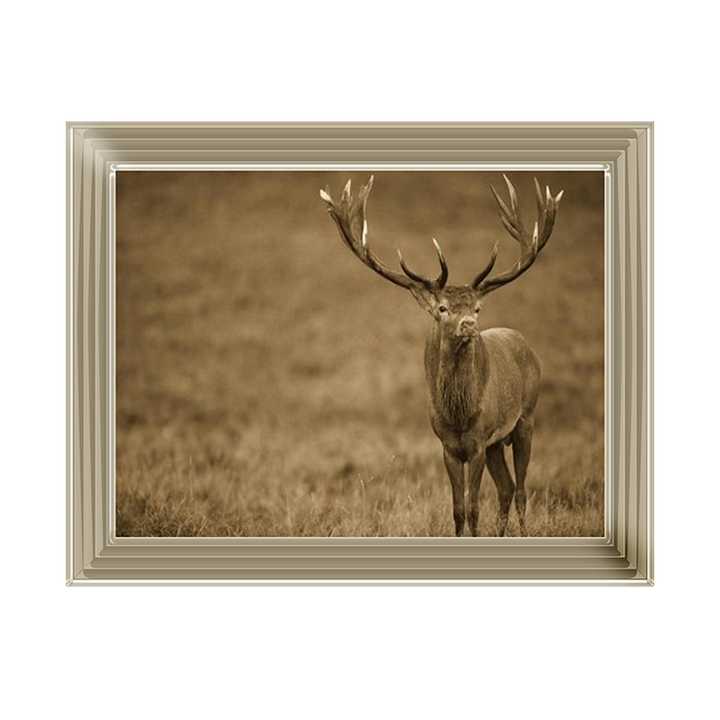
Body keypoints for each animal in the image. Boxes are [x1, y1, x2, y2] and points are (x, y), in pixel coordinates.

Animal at [320, 174, 563, 537]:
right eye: (442, 308)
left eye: (477, 307)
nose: (469, 325)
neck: (459, 415)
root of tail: (526, 344)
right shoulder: (448, 446)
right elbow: (458, 508)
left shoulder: (477, 442)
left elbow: (474, 507)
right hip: (497, 443)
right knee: (506, 488)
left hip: (526, 418)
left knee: (520, 490)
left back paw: (522, 532)